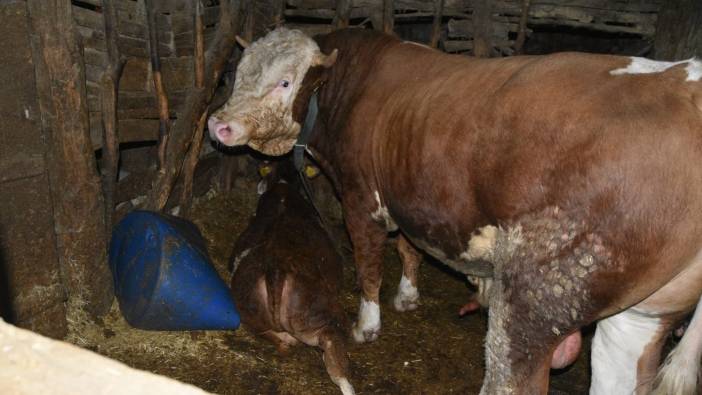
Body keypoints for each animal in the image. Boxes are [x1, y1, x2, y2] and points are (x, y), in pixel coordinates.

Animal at [230, 159, 352, 394]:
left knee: (279, 341)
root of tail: (275, 269)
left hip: (249, 312)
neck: (284, 186)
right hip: (320, 317)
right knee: (333, 352)